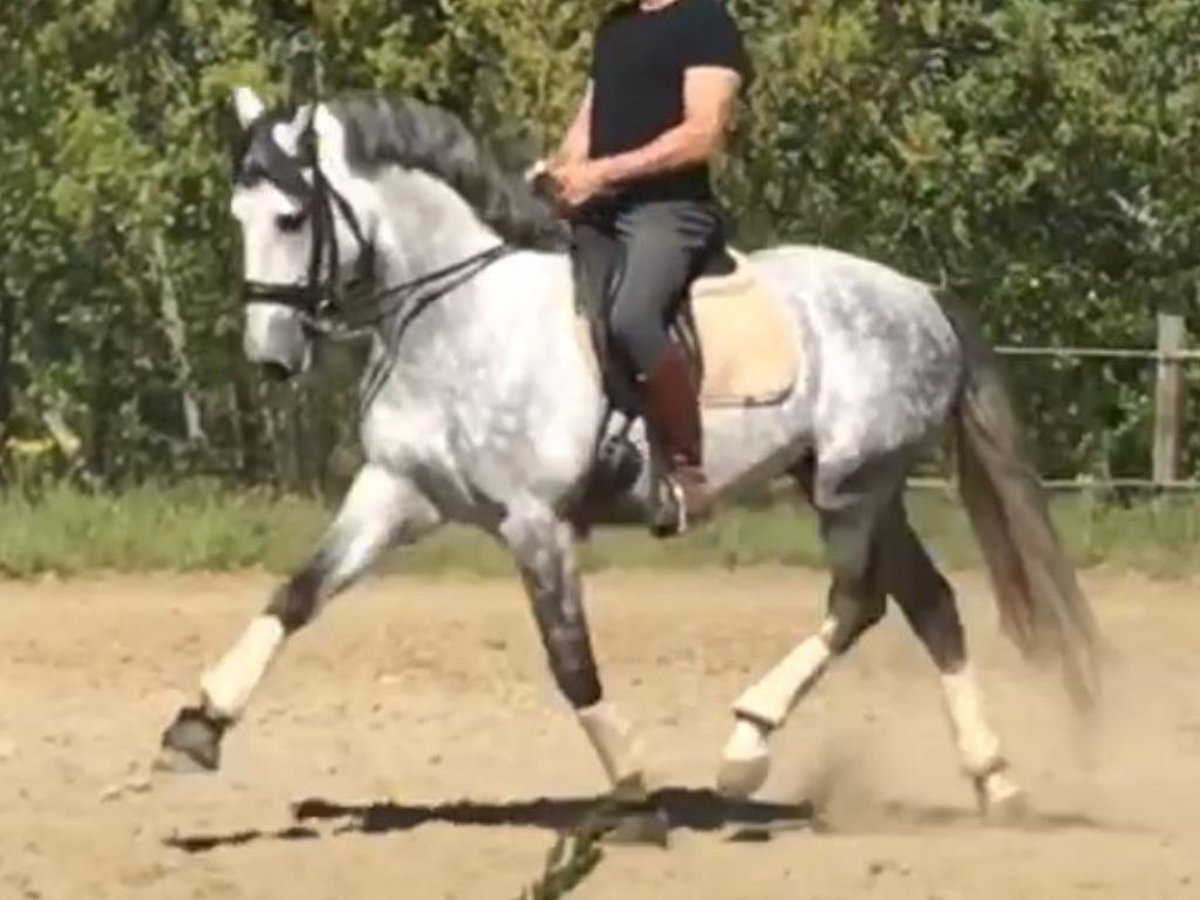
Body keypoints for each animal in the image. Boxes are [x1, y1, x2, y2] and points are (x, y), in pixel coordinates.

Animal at [157, 90, 1099, 816]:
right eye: (238, 217)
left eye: (291, 217)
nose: (271, 355)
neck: (457, 318)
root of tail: (922, 297)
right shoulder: (396, 491)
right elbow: (298, 594)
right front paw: (198, 725)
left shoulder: (535, 522)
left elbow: (570, 658)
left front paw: (636, 789)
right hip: (856, 483)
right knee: (929, 604)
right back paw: (993, 780)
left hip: (853, 484)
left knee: (860, 600)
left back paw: (746, 747)